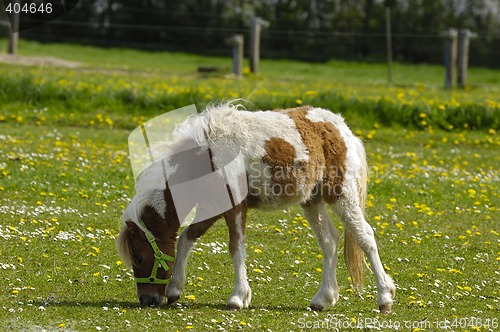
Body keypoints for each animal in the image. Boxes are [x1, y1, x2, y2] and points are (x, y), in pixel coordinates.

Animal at [116, 102, 394, 312]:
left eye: (138, 256)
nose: (147, 299)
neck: (205, 156)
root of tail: (342, 129)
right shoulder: (212, 205)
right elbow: (186, 238)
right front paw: (175, 289)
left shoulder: (234, 205)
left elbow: (235, 248)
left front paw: (238, 298)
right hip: (312, 201)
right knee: (329, 242)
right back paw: (323, 298)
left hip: (340, 194)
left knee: (365, 236)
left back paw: (385, 297)